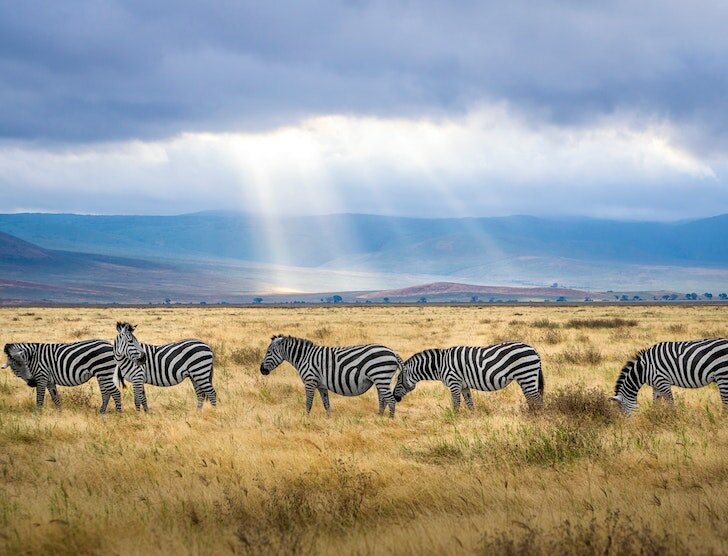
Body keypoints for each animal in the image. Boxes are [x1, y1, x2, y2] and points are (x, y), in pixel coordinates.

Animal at [258, 334, 400, 416]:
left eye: (268, 352)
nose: (261, 370)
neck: (304, 357)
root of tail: (392, 352)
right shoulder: (321, 385)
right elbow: (326, 403)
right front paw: (328, 420)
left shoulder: (310, 381)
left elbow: (308, 403)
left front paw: (306, 419)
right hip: (380, 379)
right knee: (383, 399)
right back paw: (379, 417)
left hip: (380, 376)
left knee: (391, 400)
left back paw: (389, 421)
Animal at [392, 340, 544, 410]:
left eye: (399, 379)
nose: (395, 397)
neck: (440, 365)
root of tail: (534, 349)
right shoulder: (464, 385)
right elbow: (470, 403)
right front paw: (472, 419)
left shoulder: (454, 382)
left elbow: (456, 403)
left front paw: (454, 420)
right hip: (527, 377)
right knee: (531, 398)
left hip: (526, 374)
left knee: (536, 398)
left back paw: (536, 418)